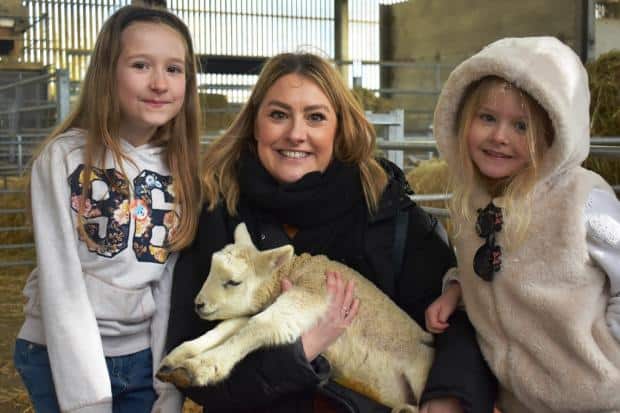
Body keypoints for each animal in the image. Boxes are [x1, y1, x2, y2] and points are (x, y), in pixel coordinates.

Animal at [157, 224, 434, 410]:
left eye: (233, 282)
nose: (198, 304)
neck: (289, 271)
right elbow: (226, 328)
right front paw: (178, 357)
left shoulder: (310, 293)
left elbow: (263, 324)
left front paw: (204, 365)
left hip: (421, 370)